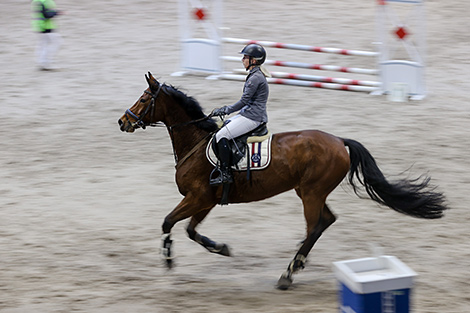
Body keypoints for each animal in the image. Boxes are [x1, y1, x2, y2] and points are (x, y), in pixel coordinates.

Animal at [117, 72, 448, 288]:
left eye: (144, 97)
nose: (123, 121)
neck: (196, 144)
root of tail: (339, 141)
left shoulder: (197, 197)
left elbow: (168, 223)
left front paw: (168, 258)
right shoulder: (205, 201)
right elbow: (190, 230)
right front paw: (220, 247)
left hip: (311, 193)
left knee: (315, 225)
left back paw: (289, 272)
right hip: (308, 191)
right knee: (325, 221)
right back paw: (297, 262)